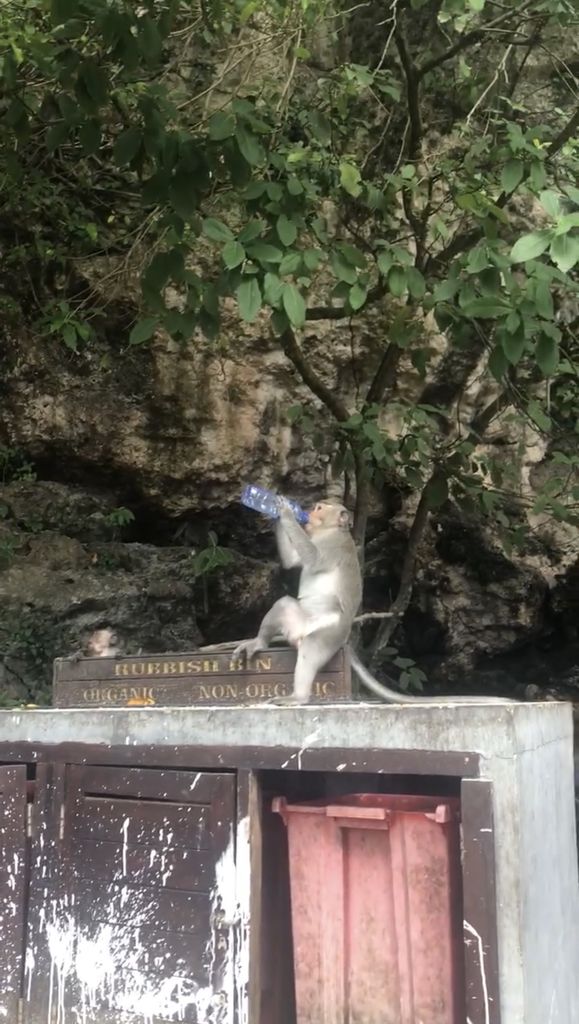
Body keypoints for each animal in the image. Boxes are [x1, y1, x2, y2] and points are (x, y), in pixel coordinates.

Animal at [234, 496, 515, 706]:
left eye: (319, 508)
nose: (308, 512)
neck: (328, 532)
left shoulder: (333, 546)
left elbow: (312, 558)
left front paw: (285, 511)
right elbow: (293, 561)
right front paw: (274, 513)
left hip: (330, 634)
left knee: (312, 648)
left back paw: (299, 696)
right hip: (301, 623)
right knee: (282, 605)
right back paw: (258, 642)